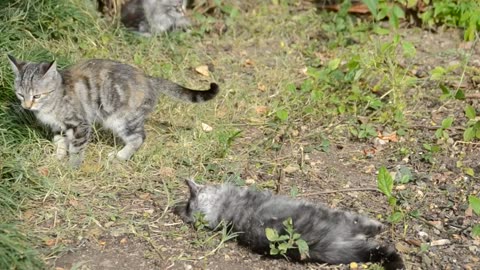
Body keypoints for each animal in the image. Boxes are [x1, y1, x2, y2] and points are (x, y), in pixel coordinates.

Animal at [7, 54, 219, 167]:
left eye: (37, 96)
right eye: (20, 94)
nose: (26, 106)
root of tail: (148, 78)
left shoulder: (80, 124)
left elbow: (76, 148)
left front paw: (72, 166)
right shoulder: (59, 128)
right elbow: (60, 142)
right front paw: (57, 157)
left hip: (122, 119)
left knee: (139, 138)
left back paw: (120, 156)